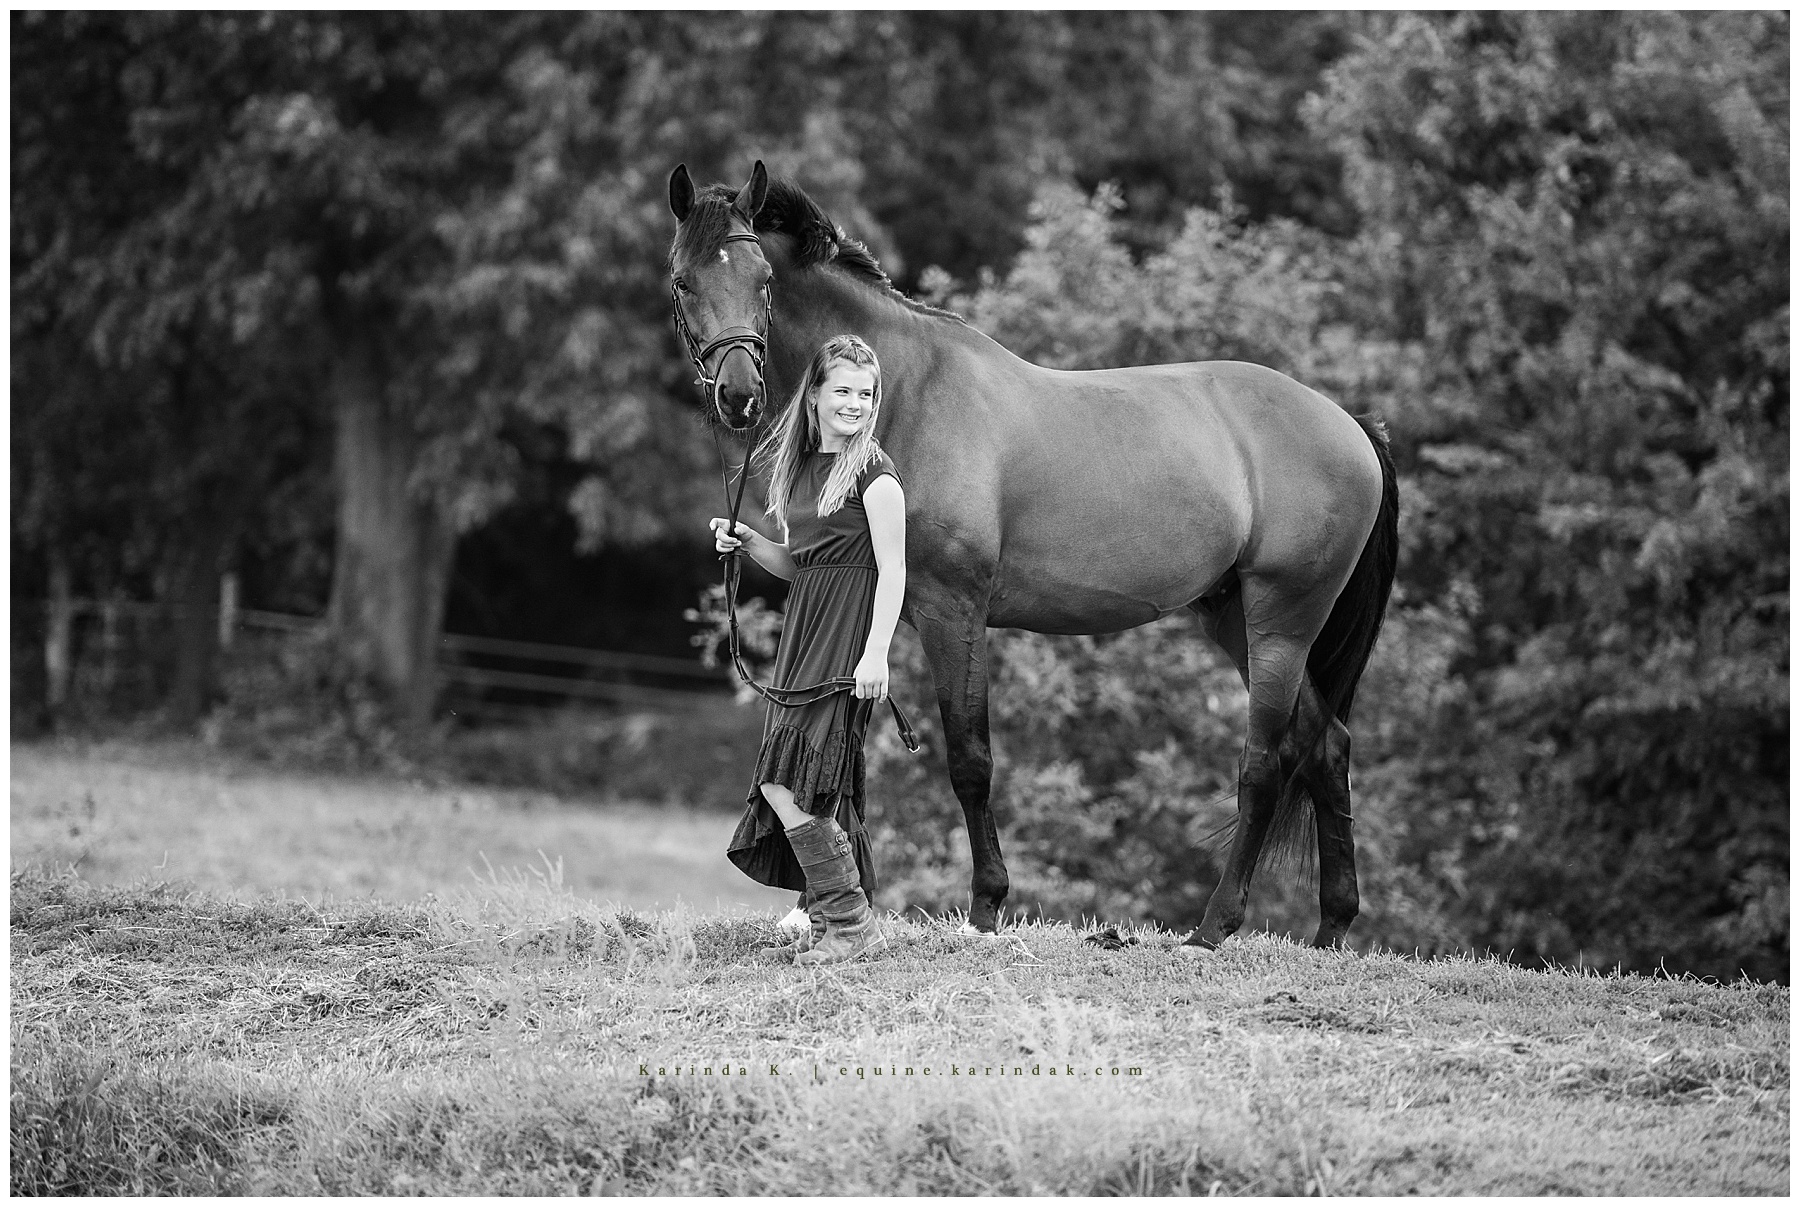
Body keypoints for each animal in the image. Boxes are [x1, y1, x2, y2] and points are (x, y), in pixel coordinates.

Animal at [667, 161, 1399, 951]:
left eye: (764, 277)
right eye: (683, 281)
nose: (738, 395)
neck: (907, 391)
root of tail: (1349, 423)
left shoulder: (953, 612)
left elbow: (970, 760)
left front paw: (986, 906)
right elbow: (842, 755)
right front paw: (820, 906)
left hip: (1280, 622)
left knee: (1267, 759)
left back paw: (1213, 926)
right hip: (1234, 616)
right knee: (1325, 743)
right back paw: (1332, 927)